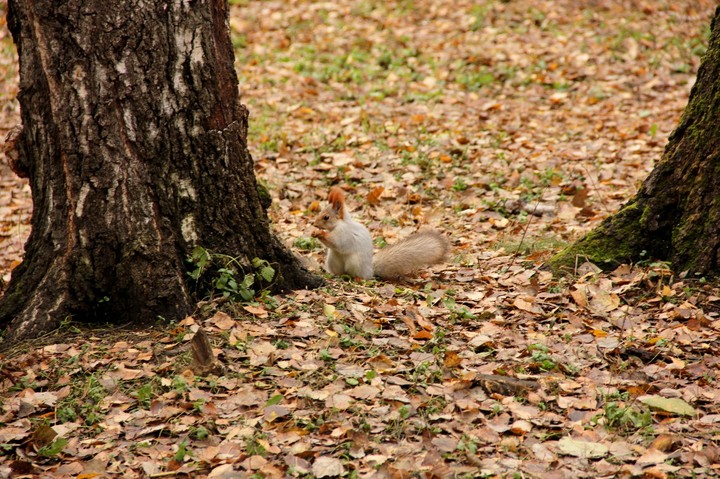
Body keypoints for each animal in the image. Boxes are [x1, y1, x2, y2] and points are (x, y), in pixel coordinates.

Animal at [312, 186, 449, 280]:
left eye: (326, 217)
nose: (314, 224)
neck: (340, 224)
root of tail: (370, 270)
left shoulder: (344, 234)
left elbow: (336, 242)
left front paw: (320, 233)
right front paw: (314, 232)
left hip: (355, 263)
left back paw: (357, 278)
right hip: (332, 260)